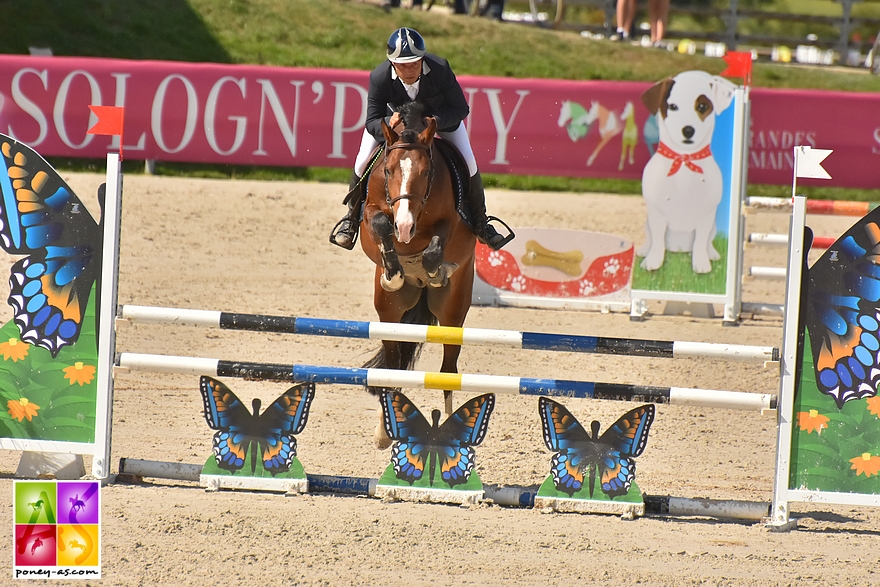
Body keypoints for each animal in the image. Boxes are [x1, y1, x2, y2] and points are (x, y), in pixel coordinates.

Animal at [360, 104, 478, 446]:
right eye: (388, 171)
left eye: (426, 173)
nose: (405, 227)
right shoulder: (371, 213)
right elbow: (379, 223)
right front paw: (393, 272)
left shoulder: (450, 222)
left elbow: (434, 248)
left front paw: (436, 269)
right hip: (389, 312)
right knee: (392, 365)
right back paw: (384, 431)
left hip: (452, 314)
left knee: (449, 370)